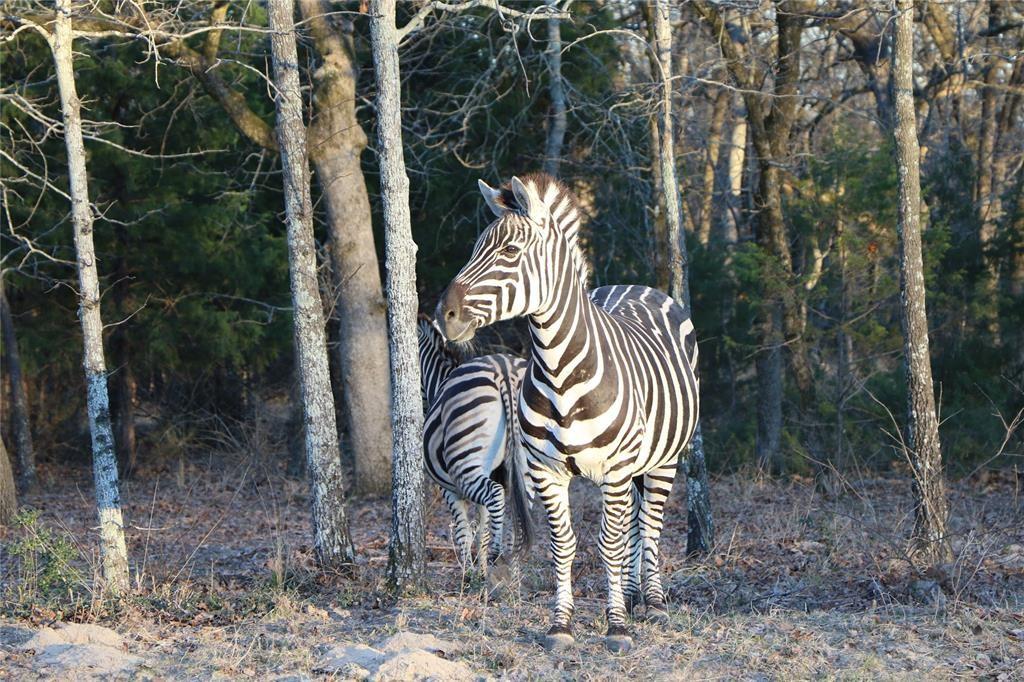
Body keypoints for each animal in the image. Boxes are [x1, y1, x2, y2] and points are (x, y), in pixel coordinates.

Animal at [415, 319, 532, 569]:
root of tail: (505, 371)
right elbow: (482, 531)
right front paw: (481, 570)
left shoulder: (450, 489)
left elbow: (464, 533)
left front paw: (469, 571)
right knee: (520, 510)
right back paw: (513, 563)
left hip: (465, 466)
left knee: (495, 495)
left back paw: (497, 555)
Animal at [436, 173, 700, 651]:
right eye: (474, 248)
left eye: (509, 252)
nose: (443, 314)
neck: (561, 371)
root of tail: (635, 285)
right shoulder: (546, 470)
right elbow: (564, 544)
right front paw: (561, 624)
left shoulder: (615, 467)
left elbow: (609, 543)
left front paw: (616, 627)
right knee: (636, 524)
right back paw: (632, 595)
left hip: (665, 458)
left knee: (649, 525)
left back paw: (651, 601)